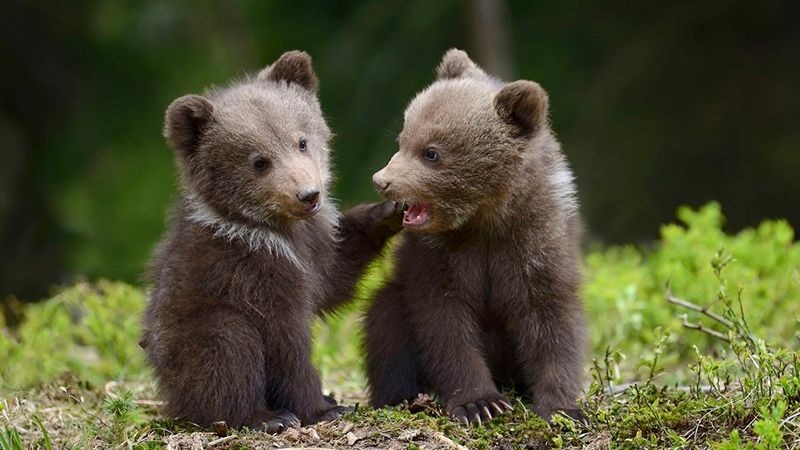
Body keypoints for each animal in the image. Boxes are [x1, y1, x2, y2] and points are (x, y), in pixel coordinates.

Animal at [142, 50, 403, 432]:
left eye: (301, 141)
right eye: (259, 161)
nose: (308, 195)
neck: (276, 230)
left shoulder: (315, 246)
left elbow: (334, 278)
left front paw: (387, 211)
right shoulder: (252, 270)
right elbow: (285, 341)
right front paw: (321, 408)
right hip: (188, 338)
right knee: (229, 345)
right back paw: (265, 416)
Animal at [364, 49, 586, 425]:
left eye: (431, 152)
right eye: (402, 139)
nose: (382, 181)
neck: (484, 219)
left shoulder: (536, 241)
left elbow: (550, 319)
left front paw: (563, 407)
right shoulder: (439, 256)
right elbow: (445, 323)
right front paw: (479, 403)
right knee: (385, 321)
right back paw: (401, 397)